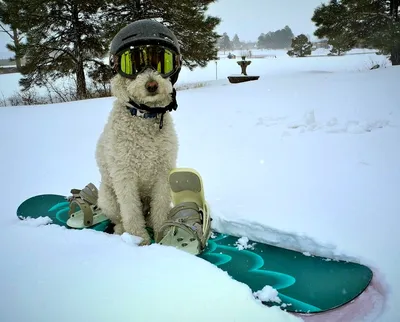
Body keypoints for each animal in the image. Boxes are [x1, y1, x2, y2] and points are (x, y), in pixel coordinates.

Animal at [94, 20, 180, 244]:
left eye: (161, 60)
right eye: (132, 64)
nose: (152, 85)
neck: (144, 116)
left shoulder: (163, 171)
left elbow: (160, 206)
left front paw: (161, 234)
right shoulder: (124, 175)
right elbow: (131, 211)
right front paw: (139, 240)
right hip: (107, 198)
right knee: (118, 217)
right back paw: (120, 230)